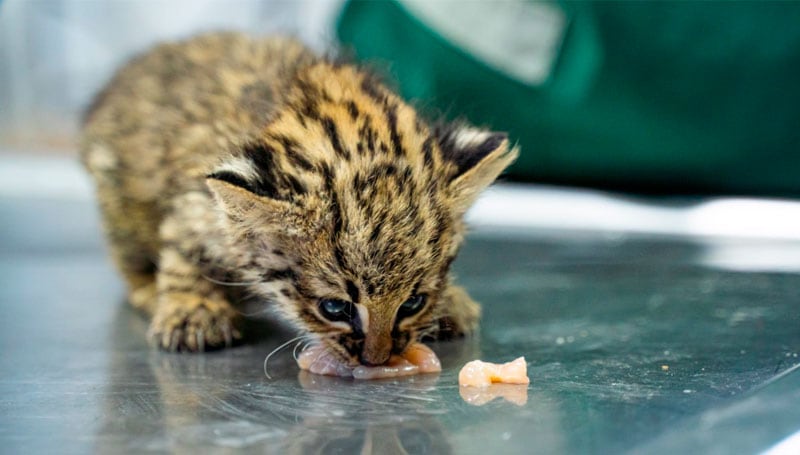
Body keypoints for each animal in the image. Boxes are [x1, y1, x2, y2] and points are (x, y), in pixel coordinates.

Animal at [81, 33, 520, 370]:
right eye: (335, 308)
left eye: (412, 302)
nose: (376, 360)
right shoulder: (194, 202)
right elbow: (182, 253)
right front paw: (193, 311)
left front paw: (450, 304)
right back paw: (150, 291)